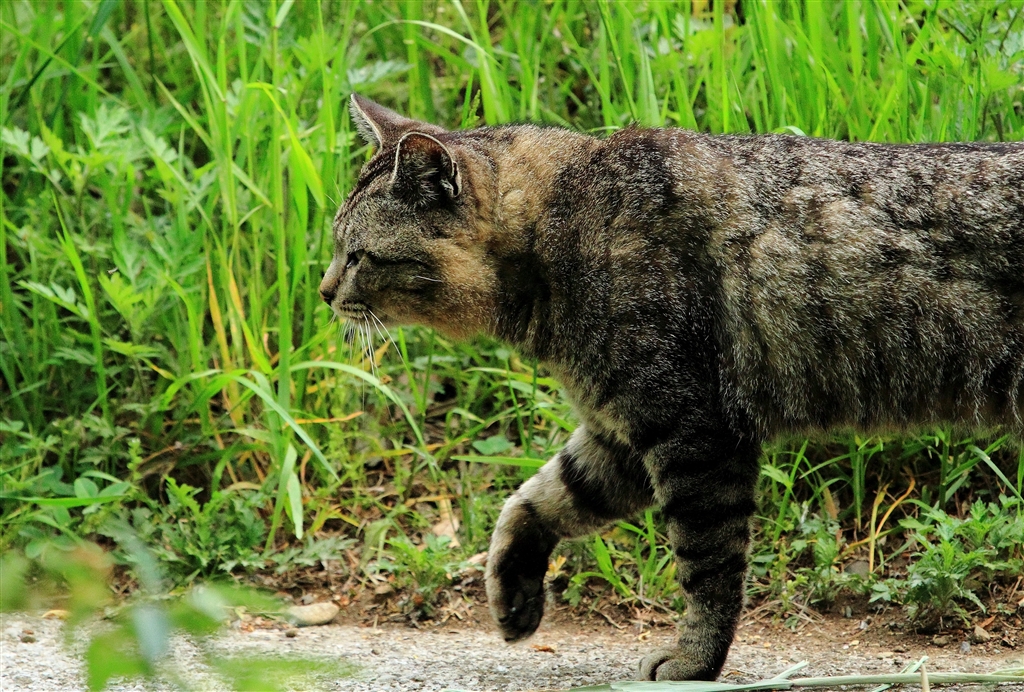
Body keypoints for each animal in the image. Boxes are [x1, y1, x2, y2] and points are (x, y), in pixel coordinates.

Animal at [320, 94, 1024, 681]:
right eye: (336, 248)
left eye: (357, 255)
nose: (324, 292)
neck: (562, 225)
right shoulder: (620, 433)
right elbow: (533, 499)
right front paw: (512, 590)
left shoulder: (692, 433)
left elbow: (708, 570)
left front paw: (694, 662)